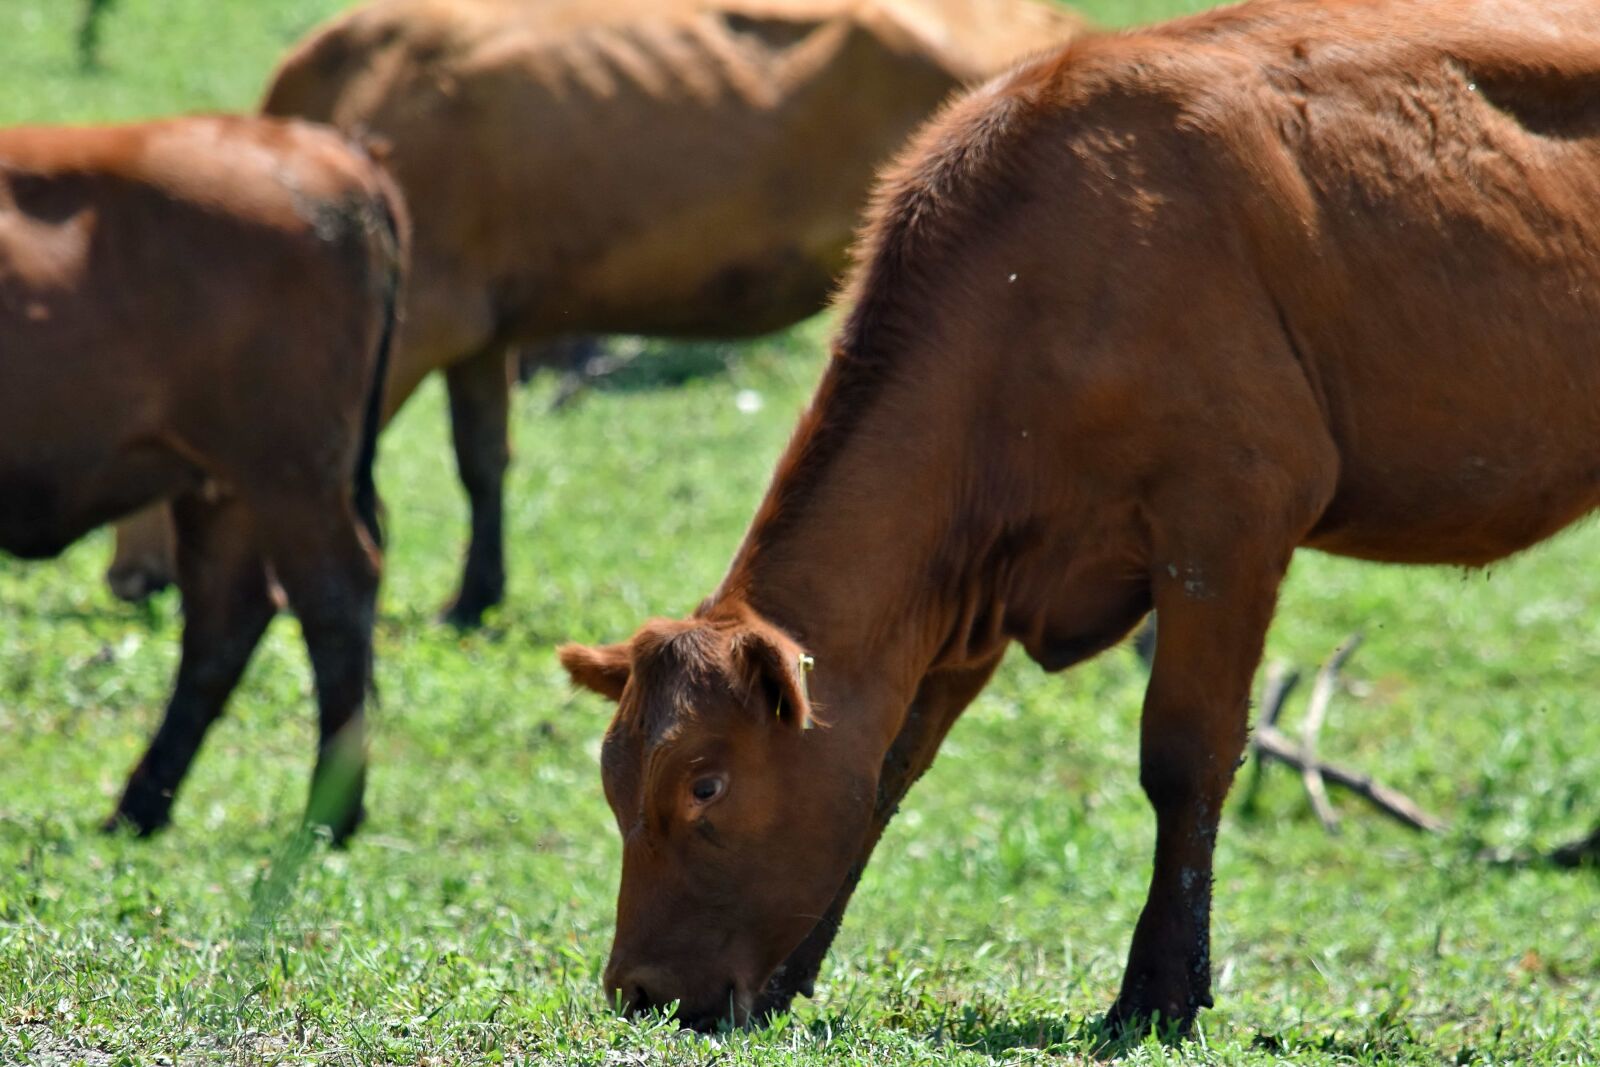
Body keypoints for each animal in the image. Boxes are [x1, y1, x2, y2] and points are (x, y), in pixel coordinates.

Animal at [0, 116, 406, 842]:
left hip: (288, 475)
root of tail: (329, 149)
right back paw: (140, 807)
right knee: (227, 619)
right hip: (220, 487)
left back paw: (329, 814)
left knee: (333, 597)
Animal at [559, 0, 1600, 1034]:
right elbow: (889, 762)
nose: (638, 989)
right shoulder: (968, 595)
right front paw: (789, 977)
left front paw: (1160, 993)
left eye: (705, 783)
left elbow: (1186, 754)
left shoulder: (1229, 517)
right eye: (613, 781)